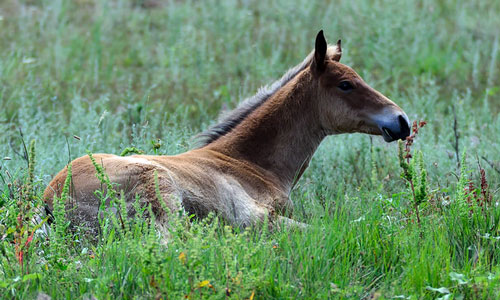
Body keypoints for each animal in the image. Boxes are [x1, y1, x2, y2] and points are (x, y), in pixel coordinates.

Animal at [44, 30, 410, 231]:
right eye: (346, 84)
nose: (401, 120)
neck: (249, 163)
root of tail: (51, 199)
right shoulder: (256, 217)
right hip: (160, 188)